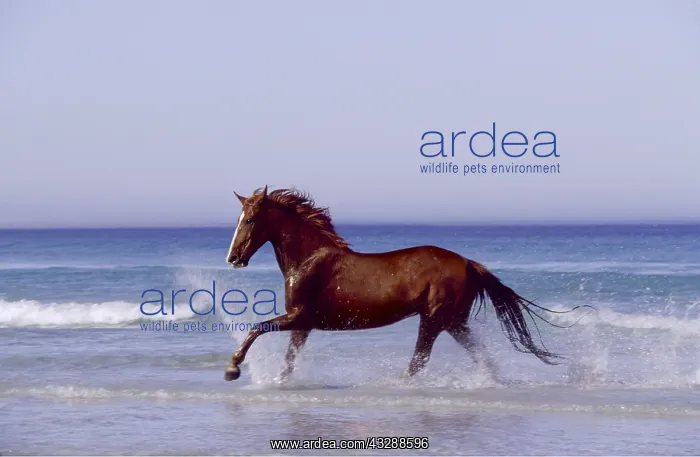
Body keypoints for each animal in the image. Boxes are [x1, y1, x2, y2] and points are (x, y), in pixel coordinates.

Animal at [222, 186, 582, 381]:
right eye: (238, 219)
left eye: (250, 220)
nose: (233, 258)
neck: (309, 260)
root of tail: (468, 263)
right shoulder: (302, 325)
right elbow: (288, 361)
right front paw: (274, 380)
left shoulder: (300, 316)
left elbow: (256, 328)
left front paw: (232, 368)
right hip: (453, 321)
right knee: (479, 355)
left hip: (434, 319)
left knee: (419, 362)